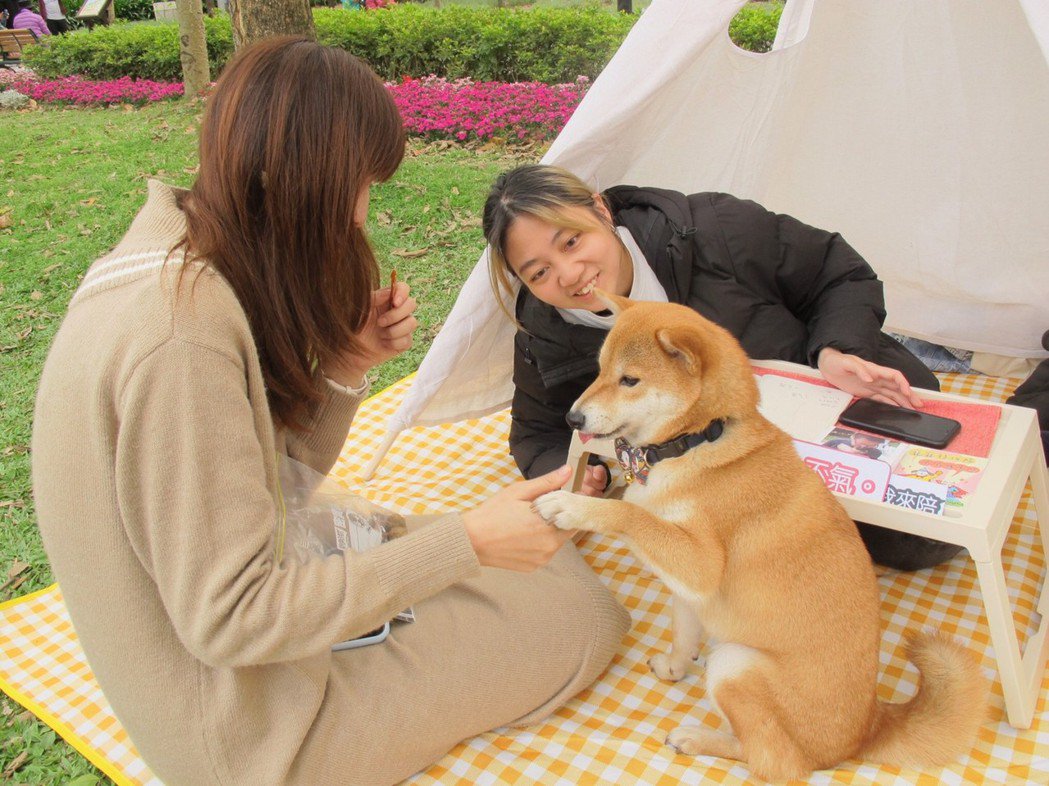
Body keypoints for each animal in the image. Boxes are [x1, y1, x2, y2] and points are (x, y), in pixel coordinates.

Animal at [537, 293, 986, 780]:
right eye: (599, 370)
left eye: (630, 380)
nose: (571, 416)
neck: (697, 441)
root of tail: (866, 728)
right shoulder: (689, 589)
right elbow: (682, 634)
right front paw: (674, 667)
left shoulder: (698, 565)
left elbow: (631, 513)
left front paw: (572, 506)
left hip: (735, 663)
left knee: (773, 760)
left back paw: (698, 738)